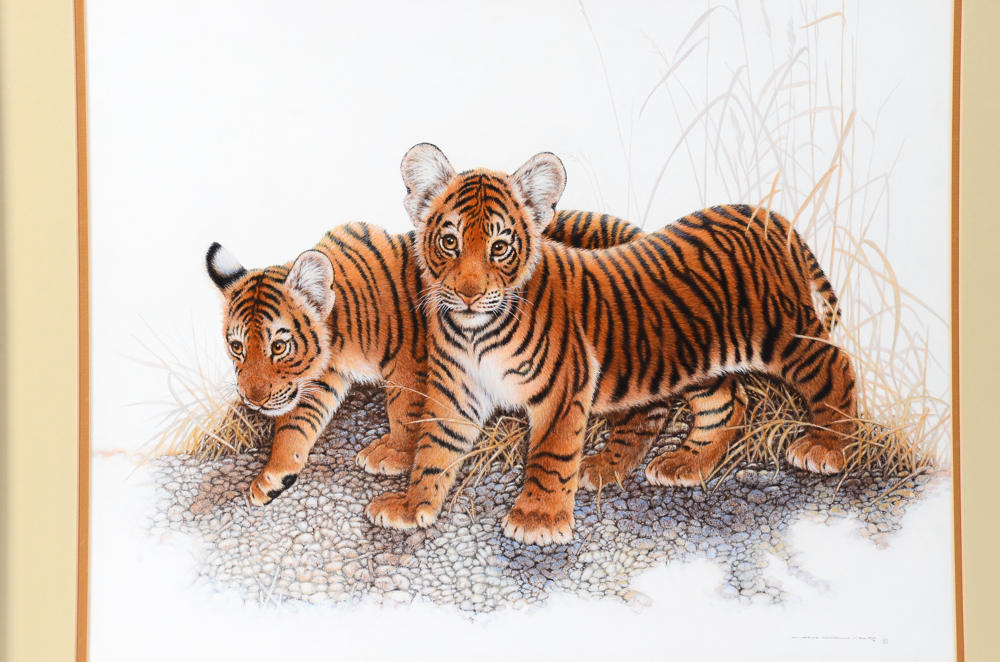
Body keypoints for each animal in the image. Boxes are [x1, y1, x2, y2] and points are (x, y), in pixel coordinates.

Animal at [206, 209, 660, 506]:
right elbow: (295, 426)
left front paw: (394, 455)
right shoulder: (318, 380)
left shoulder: (411, 362)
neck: (337, 337)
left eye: (278, 346)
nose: (251, 399)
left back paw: (609, 467)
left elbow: (405, 410)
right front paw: (273, 475)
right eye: (236, 347)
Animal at [365, 143, 856, 546]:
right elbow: (433, 450)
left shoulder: (563, 390)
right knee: (729, 402)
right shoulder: (456, 394)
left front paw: (537, 520)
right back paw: (683, 464)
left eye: (500, 247)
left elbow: (550, 455)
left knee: (836, 366)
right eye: (449, 241)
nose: (468, 294)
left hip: (786, 334)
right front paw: (411, 506)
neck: (475, 332)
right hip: (696, 356)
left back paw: (825, 448)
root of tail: (764, 214)